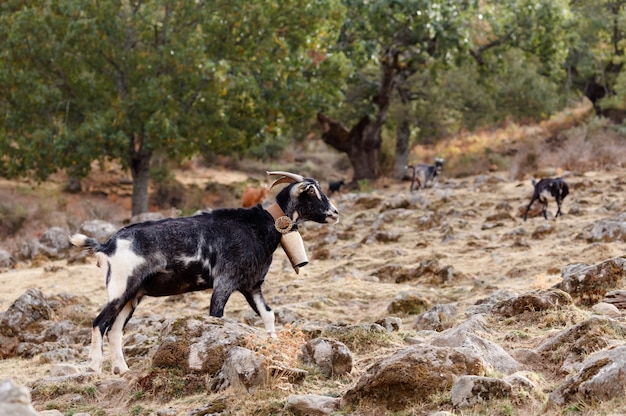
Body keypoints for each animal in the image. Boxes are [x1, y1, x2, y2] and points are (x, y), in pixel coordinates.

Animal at [69, 171, 336, 376]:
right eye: (312, 191)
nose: (334, 213)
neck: (261, 226)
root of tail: (108, 245)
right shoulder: (224, 281)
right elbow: (216, 316)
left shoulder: (251, 285)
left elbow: (268, 315)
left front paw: (274, 346)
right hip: (121, 286)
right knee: (99, 322)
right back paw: (94, 368)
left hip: (132, 295)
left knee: (114, 330)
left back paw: (122, 370)